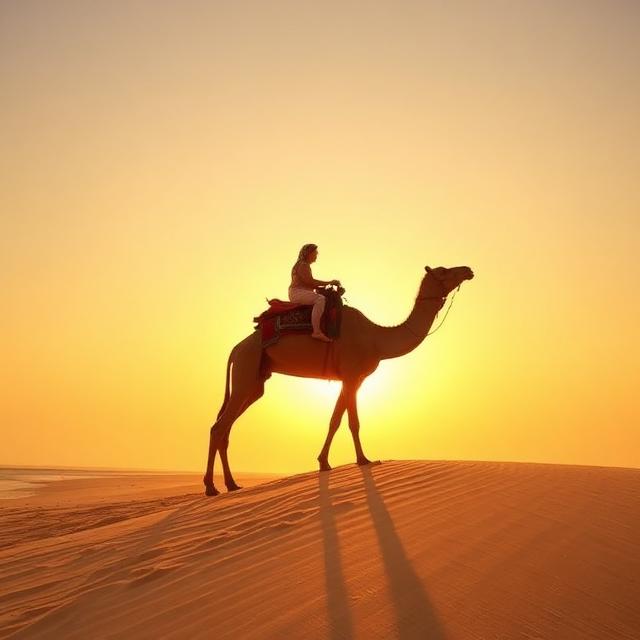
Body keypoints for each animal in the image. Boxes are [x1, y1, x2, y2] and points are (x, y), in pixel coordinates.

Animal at [203, 264, 474, 496]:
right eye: (443, 270)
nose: (468, 270)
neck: (376, 339)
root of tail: (235, 349)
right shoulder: (353, 376)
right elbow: (353, 422)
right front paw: (364, 460)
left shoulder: (351, 379)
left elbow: (334, 419)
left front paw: (324, 462)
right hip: (246, 370)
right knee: (219, 426)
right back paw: (211, 487)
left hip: (255, 381)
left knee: (226, 427)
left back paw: (231, 484)